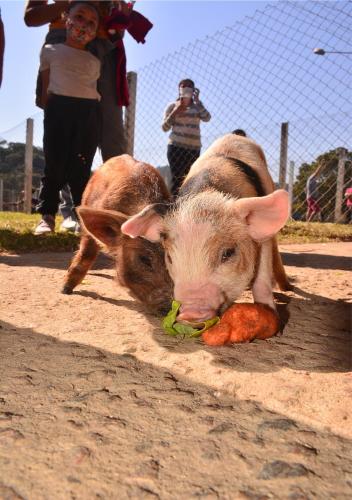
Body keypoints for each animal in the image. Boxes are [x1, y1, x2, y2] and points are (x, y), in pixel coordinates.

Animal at [119, 135, 290, 326]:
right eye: (169, 257)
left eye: (228, 253)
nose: (190, 313)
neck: (207, 192)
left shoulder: (262, 240)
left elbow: (262, 279)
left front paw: (273, 319)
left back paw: (287, 288)